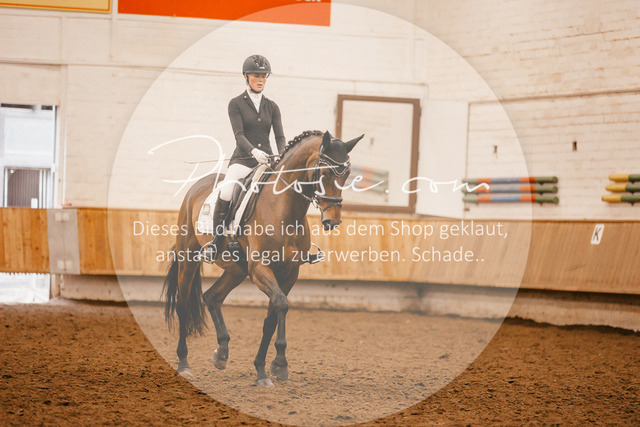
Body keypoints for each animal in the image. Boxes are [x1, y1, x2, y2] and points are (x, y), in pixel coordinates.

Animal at [163, 130, 363, 386]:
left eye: (346, 174)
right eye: (326, 172)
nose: (333, 220)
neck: (284, 208)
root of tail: (197, 186)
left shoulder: (288, 273)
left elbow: (272, 317)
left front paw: (263, 371)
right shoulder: (260, 269)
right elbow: (281, 305)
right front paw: (279, 365)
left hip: (237, 270)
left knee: (213, 297)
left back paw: (221, 353)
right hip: (189, 258)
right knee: (183, 304)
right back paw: (184, 364)